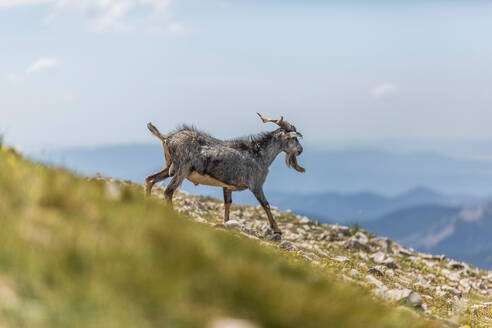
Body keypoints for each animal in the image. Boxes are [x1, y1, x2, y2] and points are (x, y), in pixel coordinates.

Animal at [145, 114, 304, 240]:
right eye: (294, 139)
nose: (300, 150)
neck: (259, 155)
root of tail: (167, 138)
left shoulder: (227, 186)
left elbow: (228, 204)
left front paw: (226, 225)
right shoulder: (256, 185)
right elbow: (266, 204)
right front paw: (277, 230)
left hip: (170, 167)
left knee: (150, 179)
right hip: (182, 169)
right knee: (168, 191)